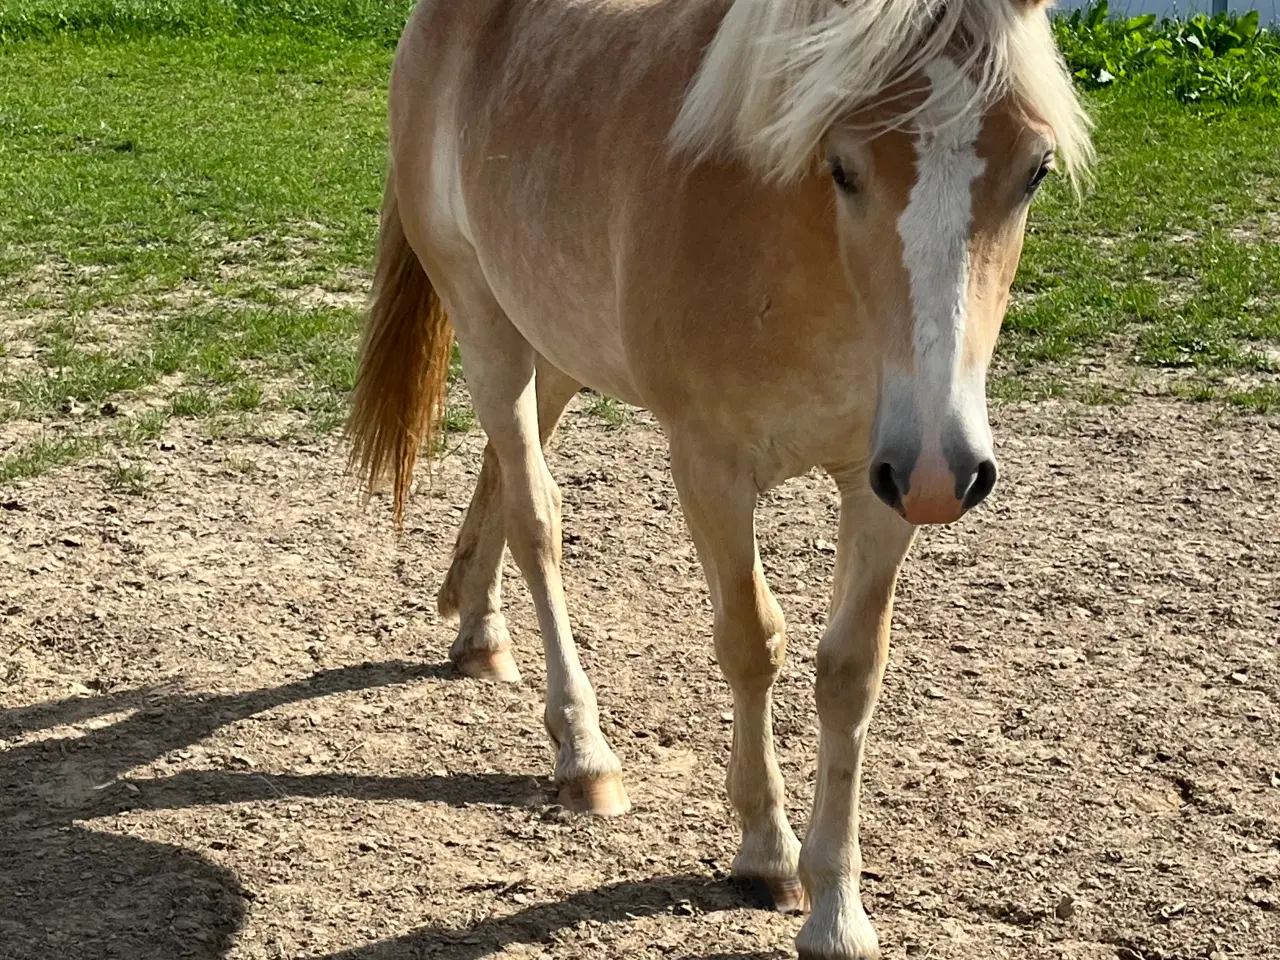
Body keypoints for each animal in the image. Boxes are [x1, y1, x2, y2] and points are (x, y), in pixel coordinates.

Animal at [348, 0, 1090, 957]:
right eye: (842, 166)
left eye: (1035, 170)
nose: (943, 469)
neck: (792, 239)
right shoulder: (711, 469)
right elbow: (751, 641)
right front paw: (767, 851)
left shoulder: (884, 484)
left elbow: (851, 671)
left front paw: (837, 910)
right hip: (485, 322)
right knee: (538, 515)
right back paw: (584, 753)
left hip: (557, 341)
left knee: (508, 477)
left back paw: (480, 634)